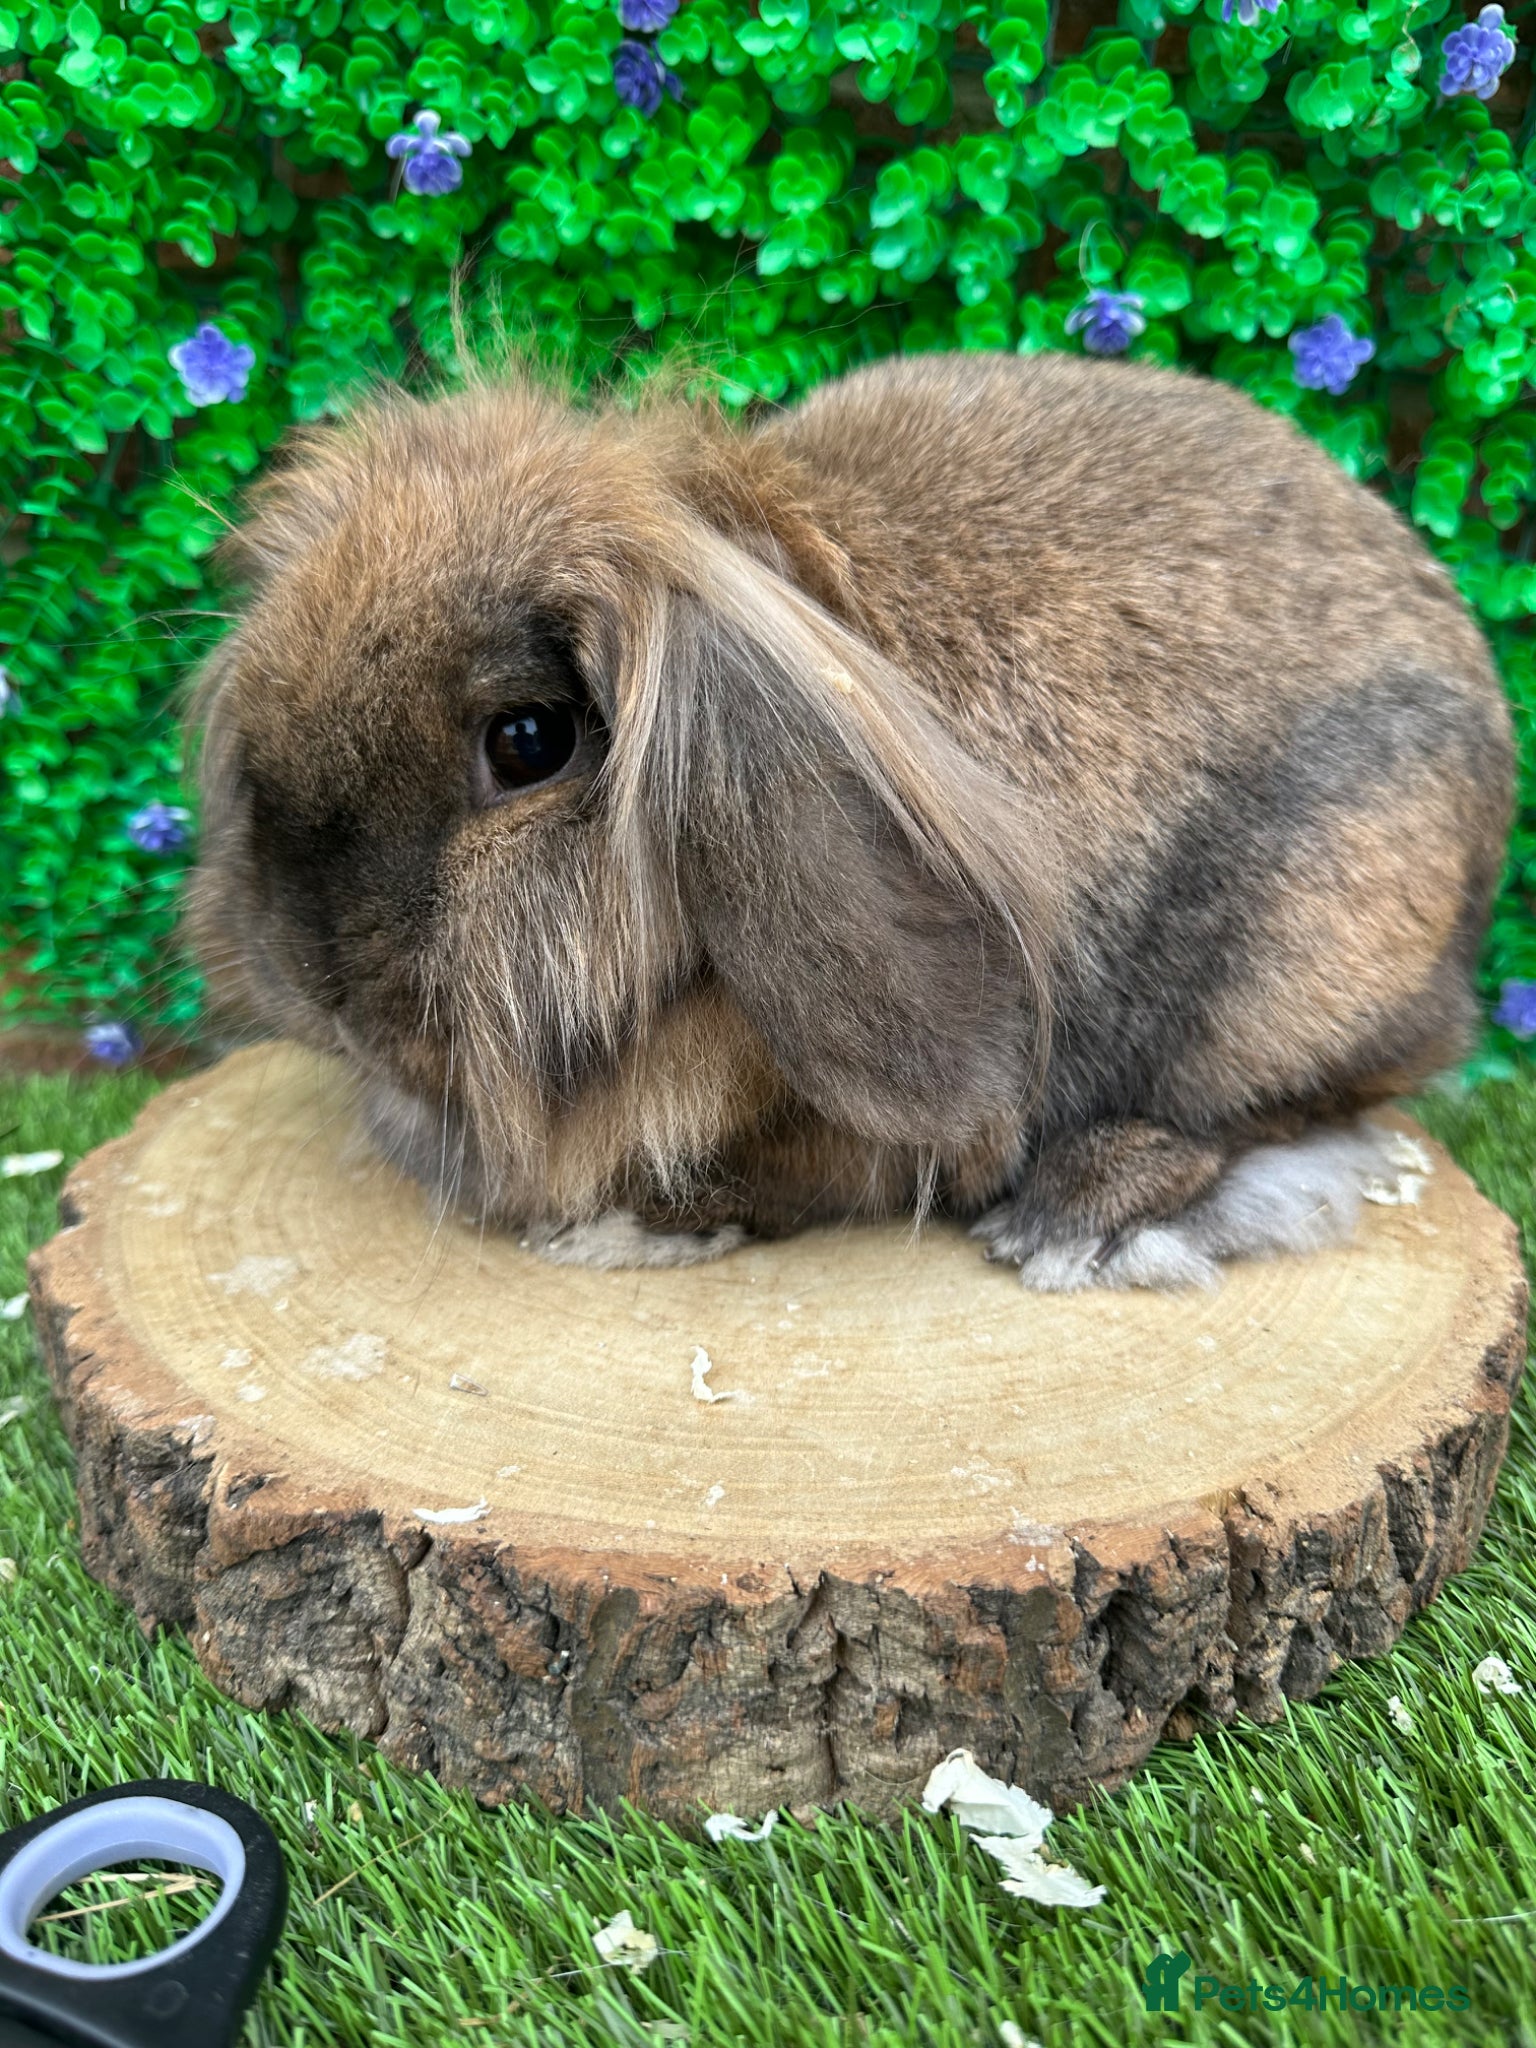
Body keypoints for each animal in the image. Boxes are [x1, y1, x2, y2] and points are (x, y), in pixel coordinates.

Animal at [186, 348, 1514, 1290]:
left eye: (526, 742)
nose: (312, 975)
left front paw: (626, 1227)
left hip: (1295, 964)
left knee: (1286, 1103)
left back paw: (1070, 1218)